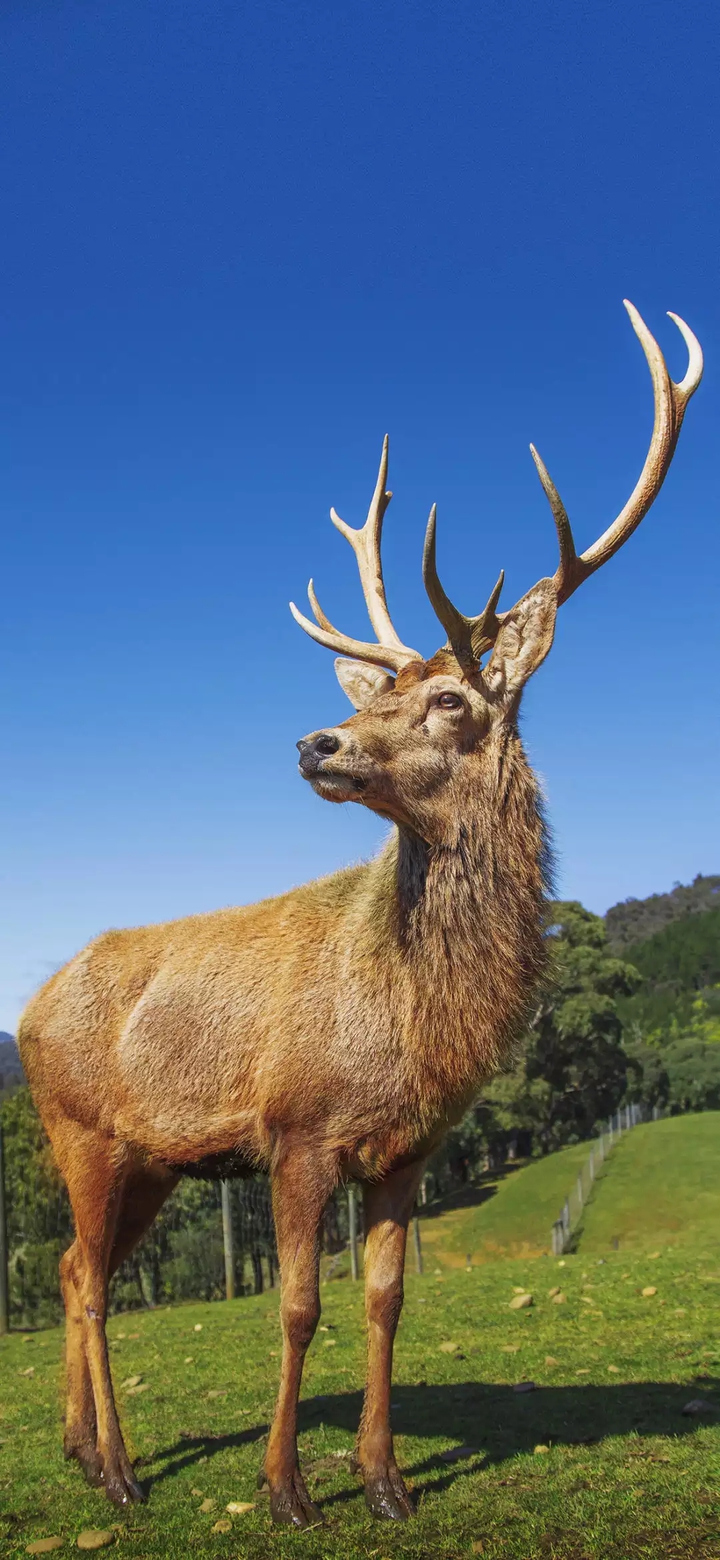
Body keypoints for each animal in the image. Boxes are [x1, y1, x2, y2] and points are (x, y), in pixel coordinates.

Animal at [18, 302, 702, 1527]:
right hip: (78, 1129)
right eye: (379, 688)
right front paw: (286, 1485)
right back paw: (122, 1471)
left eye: (451, 698)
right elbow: (297, 1305)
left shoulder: (409, 1148)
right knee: (88, 1281)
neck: (416, 1024)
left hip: (151, 1159)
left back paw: (78, 1448)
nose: (315, 740)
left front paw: (385, 1479)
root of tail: (31, 1004)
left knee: (66, 1268)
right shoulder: (297, 1130)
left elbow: (385, 1298)